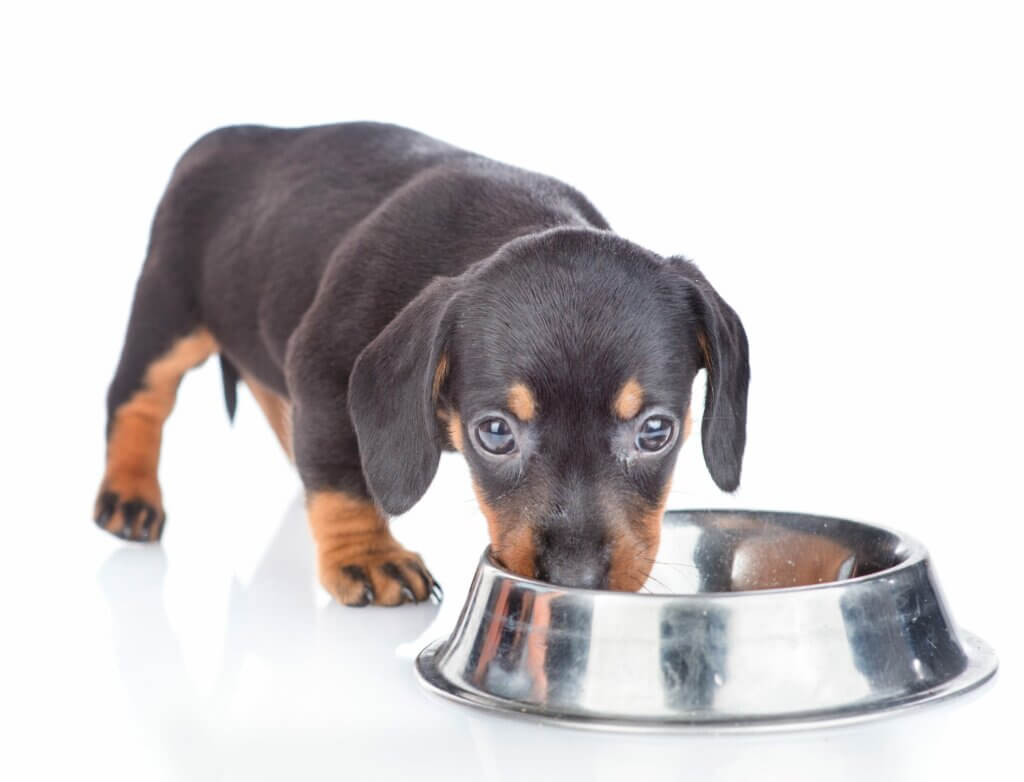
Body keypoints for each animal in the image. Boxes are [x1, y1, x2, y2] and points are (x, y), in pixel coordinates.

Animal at [96, 122, 753, 605]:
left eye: (656, 432)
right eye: (495, 434)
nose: (574, 579)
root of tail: (218, 139)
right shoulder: (327, 375)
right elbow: (342, 479)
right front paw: (367, 556)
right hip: (167, 309)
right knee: (137, 398)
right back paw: (129, 495)